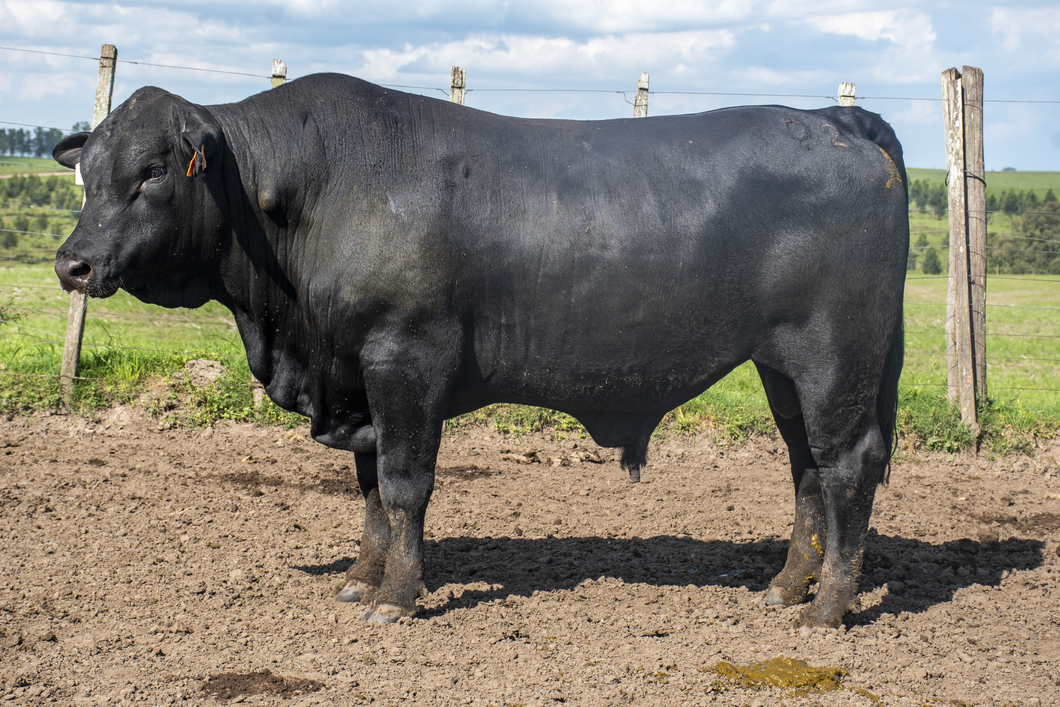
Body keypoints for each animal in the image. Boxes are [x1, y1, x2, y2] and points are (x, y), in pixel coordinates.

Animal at [53, 72, 907, 627]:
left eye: (152, 171)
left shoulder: (403, 360)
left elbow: (403, 486)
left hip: (836, 354)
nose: (73, 263)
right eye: (88, 172)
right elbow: (368, 487)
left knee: (848, 462)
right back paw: (787, 584)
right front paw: (361, 577)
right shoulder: (358, 381)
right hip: (783, 367)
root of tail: (832, 121)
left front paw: (397, 598)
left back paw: (827, 606)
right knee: (805, 465)